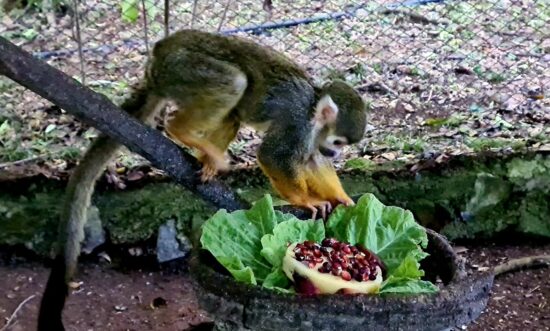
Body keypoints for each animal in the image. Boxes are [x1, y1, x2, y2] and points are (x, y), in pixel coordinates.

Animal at [37, 29, 366, 330]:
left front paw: (339, 198)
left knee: (233, 112)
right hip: (182, 67)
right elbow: (274, 156)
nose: (336, 153)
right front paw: (306, 200)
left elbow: (313, 160)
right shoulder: (297, 125)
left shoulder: (311, 137)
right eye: (338, 142)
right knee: (234, 83)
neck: (314, 111)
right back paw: (180, 130)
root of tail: (160, 53)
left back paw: (206, 158)